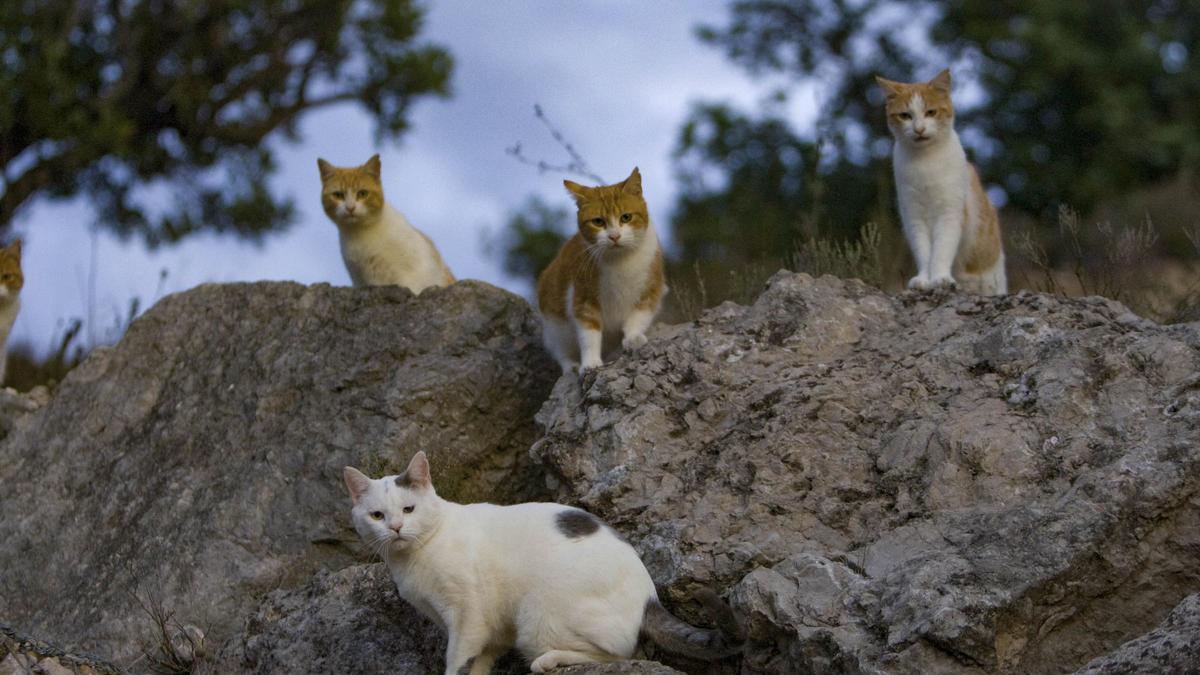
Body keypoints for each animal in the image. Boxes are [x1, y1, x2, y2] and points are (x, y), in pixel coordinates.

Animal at [314, 154, 453, 291]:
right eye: (338, 195)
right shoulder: (360, 280)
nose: (350, 208)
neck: (359, 233)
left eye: (362, 193)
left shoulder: (413, 273)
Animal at [348, 446, 739, 672]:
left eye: (408, 509)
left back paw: (549, 661)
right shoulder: (488, 630)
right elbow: (479, 663)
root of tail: (649, 597)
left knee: (626, 654)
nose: (396, 528)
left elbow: (458, 660)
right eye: (377, 516)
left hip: (538, 618)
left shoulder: (467, 616)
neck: (413, 559)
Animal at [537, 165, 667, 369]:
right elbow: (589, 334)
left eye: (626, 217)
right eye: (598, 221)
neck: (620, 261)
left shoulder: (650, 290)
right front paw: (590, 363)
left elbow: (638, 317)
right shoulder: (583, 299)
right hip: (555, 326)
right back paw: (571, 366)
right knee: (560, 351)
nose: (614, 236)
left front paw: (633, 338)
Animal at [878, 67, 1008, 294]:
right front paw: (923, 279)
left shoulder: (950, 214)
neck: (925, 163)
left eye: (931, 112)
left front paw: (940, 279)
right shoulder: (914, 218)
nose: (919, 129)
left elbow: (941, 250)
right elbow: (924, 252)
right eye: (905, 116)